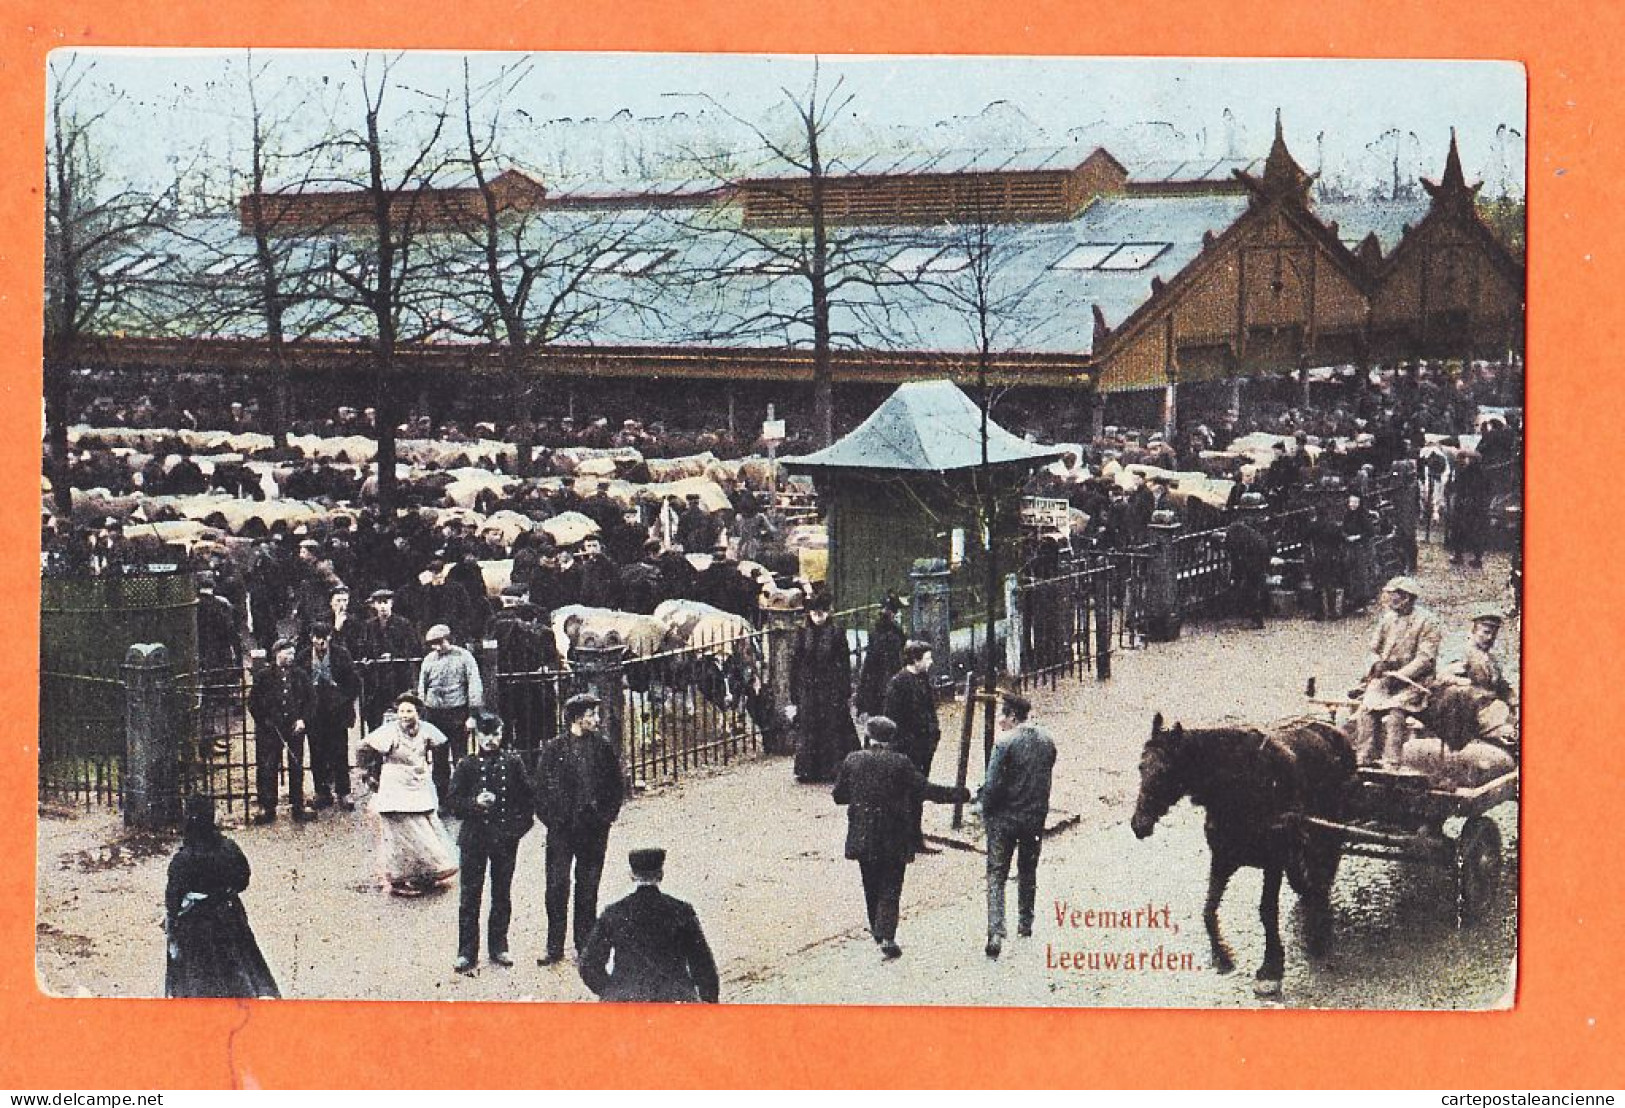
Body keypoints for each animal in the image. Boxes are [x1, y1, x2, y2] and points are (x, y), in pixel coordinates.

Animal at [1137, 714, 1352, 994]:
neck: (1239, 783)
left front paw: (1271, 967)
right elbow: (1208, 910)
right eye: (1141, 767)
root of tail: (1329, 729)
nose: (1139, 824)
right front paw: (1222, 956)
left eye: (1164, 771)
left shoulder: (1273, 861)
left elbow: (1267, 911)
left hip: (1328, 827)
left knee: (1322, 872)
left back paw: (1319, 928)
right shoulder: (1222, 858)